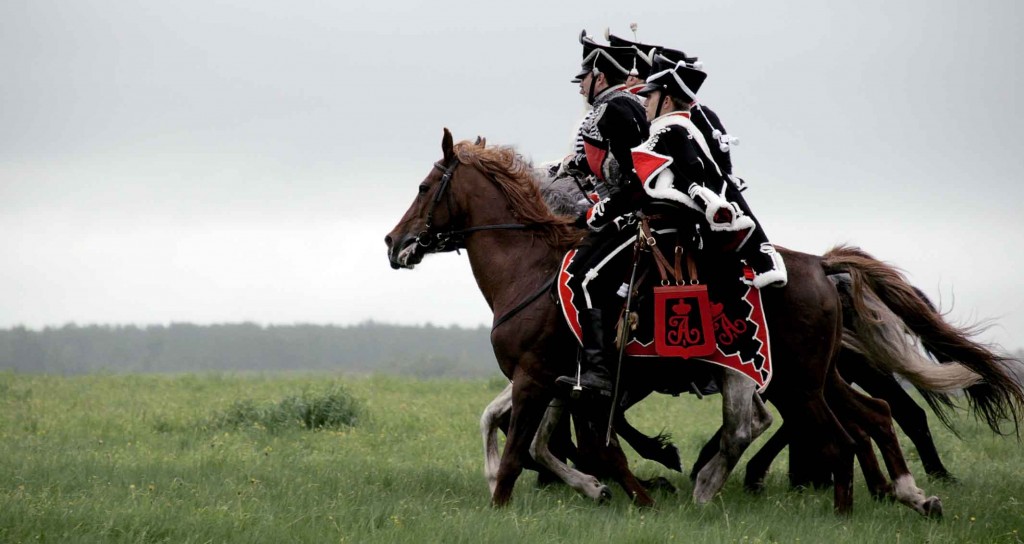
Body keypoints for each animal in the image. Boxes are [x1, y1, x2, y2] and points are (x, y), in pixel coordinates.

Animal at [382, 131, 958, 514]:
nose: (394, 243)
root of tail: (819, 265)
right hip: (817, 378)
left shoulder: (537, 379)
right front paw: (604, 488)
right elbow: (531, 437)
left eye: (426, 185)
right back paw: (910, 494)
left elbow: (528, 447)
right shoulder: (566, 384)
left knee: (829, 437)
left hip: (792, 383)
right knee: (874, 417)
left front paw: (503, 503)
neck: (528, 271)